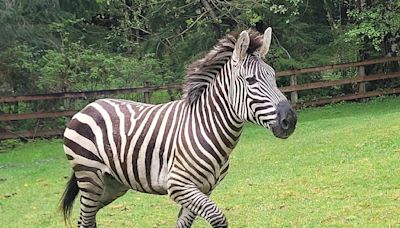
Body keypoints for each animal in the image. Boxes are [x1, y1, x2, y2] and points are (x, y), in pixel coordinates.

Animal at [60, 27, 296, 227]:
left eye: (274, 77)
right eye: (251, 80)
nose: (290, 120)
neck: (207, 128)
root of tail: (88, 106)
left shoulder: (204, 189)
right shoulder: (178, 185)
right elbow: (218, 217)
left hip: (112, 184)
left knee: (88, 218)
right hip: (89, 176)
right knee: (85, 219)